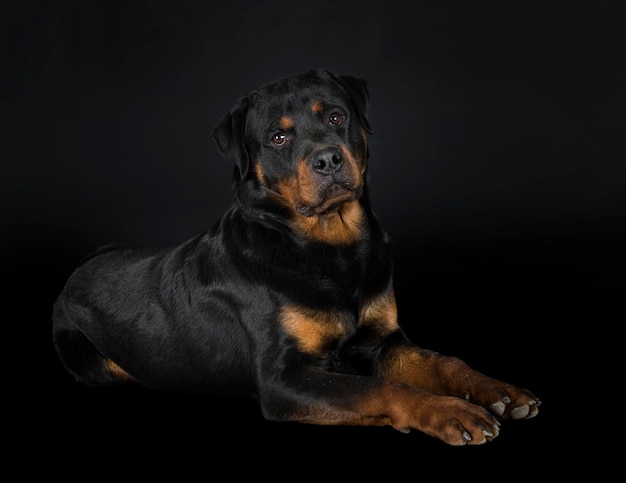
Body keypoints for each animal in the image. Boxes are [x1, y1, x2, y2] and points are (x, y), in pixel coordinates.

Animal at [52, 67, 536, 446]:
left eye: (337, 117)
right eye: (278, 137)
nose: (327, 160)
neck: (330, 249)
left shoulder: (382, 339)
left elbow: (442, 361)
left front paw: (497, 391)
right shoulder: (284, 378)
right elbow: (377, 389)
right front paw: (450, 411)